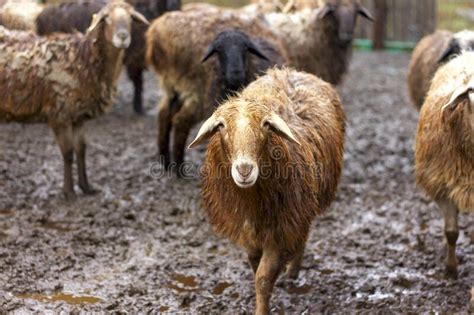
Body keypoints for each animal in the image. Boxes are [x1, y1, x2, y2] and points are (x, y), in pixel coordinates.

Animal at [0, 1, 148, 201]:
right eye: (106, 18)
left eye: (131, 18)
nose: (123, 37)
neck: (83, 59)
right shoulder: (59, 114)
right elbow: (68, 153)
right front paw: (68, 191)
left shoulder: (79, 116)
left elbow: (81, 150)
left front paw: (86, 187)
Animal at [144, 7, 286, 174]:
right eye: (219, 51)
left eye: (245, 48)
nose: (235, 73)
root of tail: (157, 35)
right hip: (196, 92)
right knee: (180, 121)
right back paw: (178, 167)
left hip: (172, 87)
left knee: (165, 115)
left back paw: (166, 162)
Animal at [187, 68, 346, 314]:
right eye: (221, 126)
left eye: (265, 125)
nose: (244, 169)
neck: (252, 200)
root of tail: (289, 71)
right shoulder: (247, 229)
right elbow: (254, 264)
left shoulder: (281, 226)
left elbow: (263, 277)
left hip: (304, 205)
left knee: (302, 234)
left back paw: (293, 272)